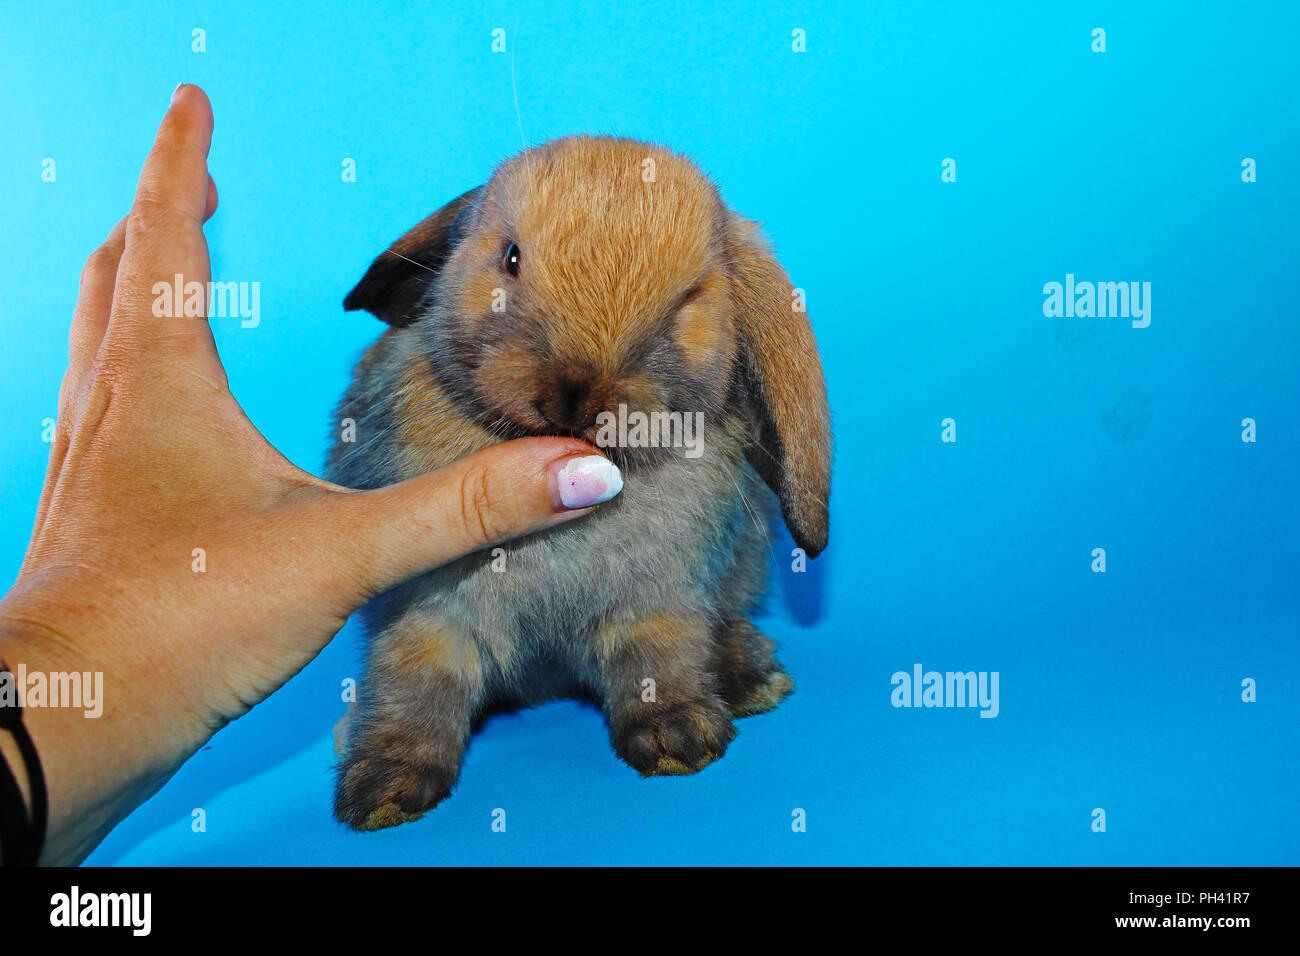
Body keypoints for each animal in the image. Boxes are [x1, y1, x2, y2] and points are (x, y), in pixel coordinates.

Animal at [327, 135, 831, 831]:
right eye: (510, 257)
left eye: (689, 299)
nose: (575, 394)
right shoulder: (426, 613)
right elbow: (414, 682)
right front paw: (384, 788)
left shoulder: (661, 596)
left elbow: (658, 657)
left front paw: (679, 740)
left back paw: (752, 678)